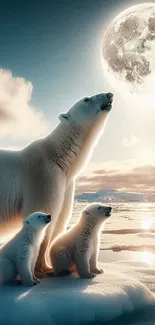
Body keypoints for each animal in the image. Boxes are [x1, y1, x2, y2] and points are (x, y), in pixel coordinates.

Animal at [0, 91, 112, 270]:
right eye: (86, 99)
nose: (109, 94)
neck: (58, 157)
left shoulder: (66, 183)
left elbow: (60, 220)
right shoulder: (43, 176)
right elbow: (44, 214)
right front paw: (44, 268)